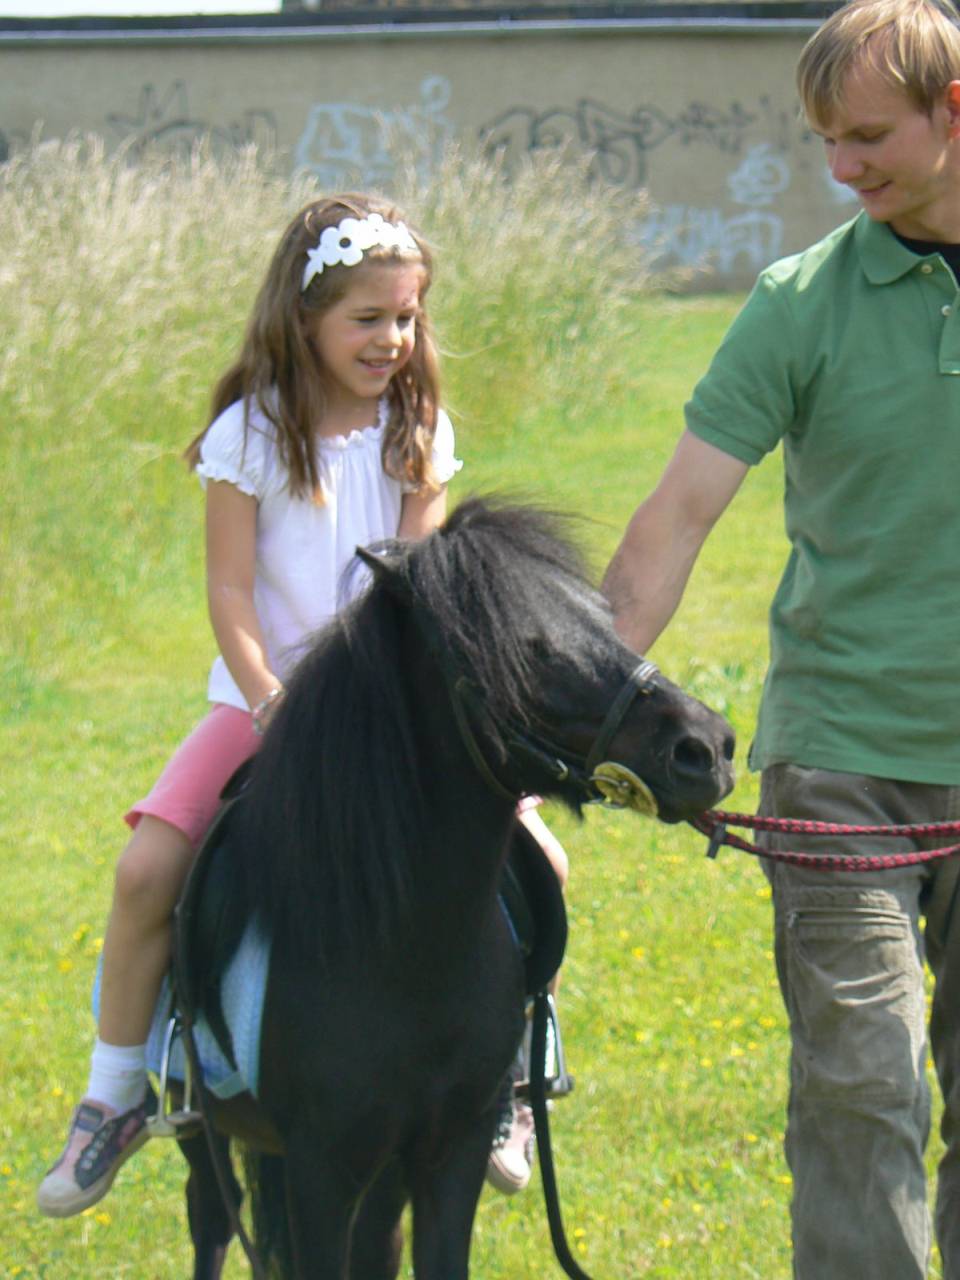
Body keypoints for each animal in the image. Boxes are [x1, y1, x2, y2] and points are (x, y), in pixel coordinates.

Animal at [175, 499, 737, 1280]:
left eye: (604, 618)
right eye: (523, 649)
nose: (706, 747)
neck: (404, 953)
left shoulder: (449, 1153)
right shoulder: (320, 1171)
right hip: (204, 1132)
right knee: (212, 1220)